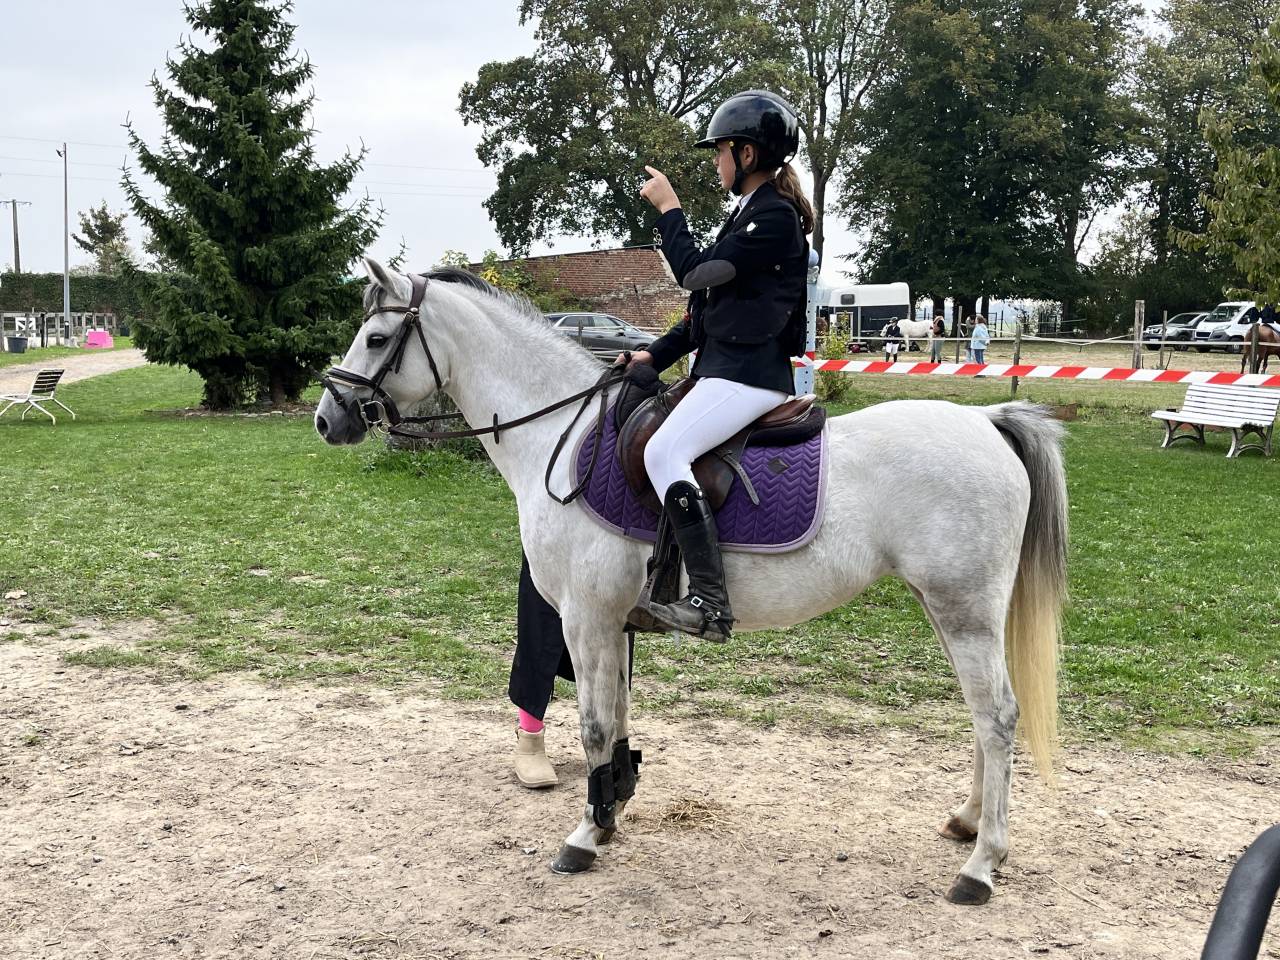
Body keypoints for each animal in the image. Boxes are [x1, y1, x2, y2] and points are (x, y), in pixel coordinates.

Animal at [314, 258, 1069, 907]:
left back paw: (981, 865)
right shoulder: (613, 623)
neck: (562, 434)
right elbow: (617, 719)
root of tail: (987, 422)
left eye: (377, 337)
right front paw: (613, 810)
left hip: (963, 609)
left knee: (998, 717)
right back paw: (966, 823)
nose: (329, 418)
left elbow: (592, 724)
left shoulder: (585, 619)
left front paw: (584, 835)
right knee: (981, 718)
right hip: (948, 610)